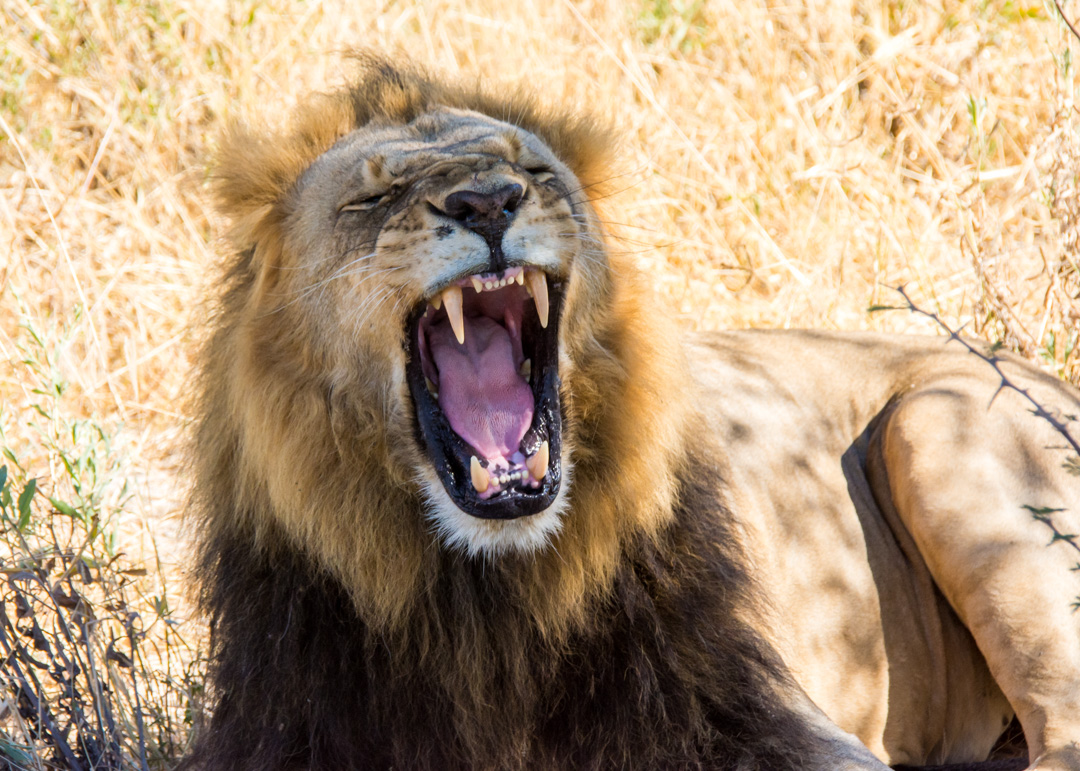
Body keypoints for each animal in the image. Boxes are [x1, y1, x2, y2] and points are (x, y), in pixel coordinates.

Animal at [185, 56, 1080, 764]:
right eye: (376, 199)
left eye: (534, 174)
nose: (488, 202)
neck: (485, 598)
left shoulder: (760, 715)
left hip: (934, 426)